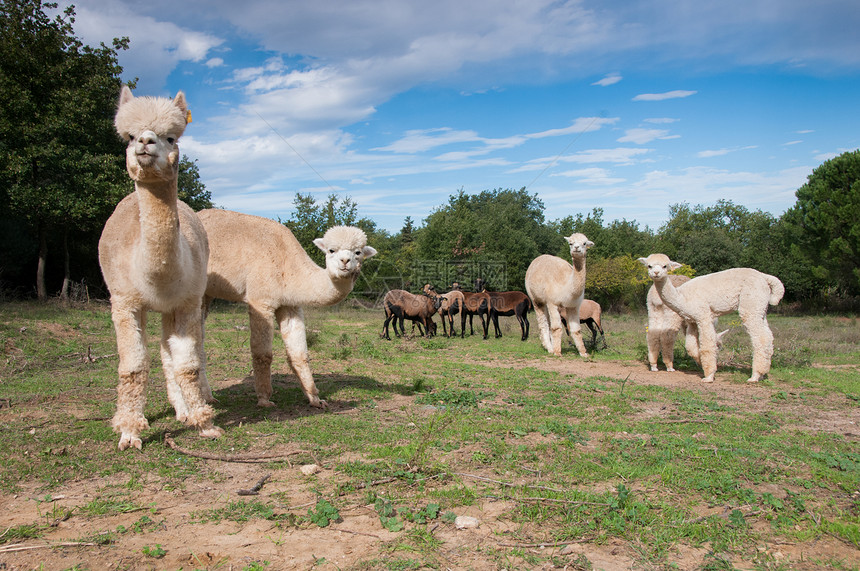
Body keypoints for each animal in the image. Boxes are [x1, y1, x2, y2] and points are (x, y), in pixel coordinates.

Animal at [99, 86, 223, 452]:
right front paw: (129, 432)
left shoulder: (186, 301)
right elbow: (132, 367)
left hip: (176, 307)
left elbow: (187, 365)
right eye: (128, 136)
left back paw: (182, 410)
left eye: (171, 137)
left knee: (168, 353)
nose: (145, 141)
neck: (156, 279)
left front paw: (205, 423)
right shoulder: (125, 302)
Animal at [203, 211, 378, 412]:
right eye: (331, 250)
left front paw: (315, 399)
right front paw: (264, 399)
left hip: (206, 292)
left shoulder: (289, 305)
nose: (345, 261)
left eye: (358, 252)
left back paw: (208, 398)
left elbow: (299, 354)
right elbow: (263, 354)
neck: (288, 266)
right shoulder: (261, 301)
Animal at [640, 255, 788, 384]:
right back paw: (760, 374)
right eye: (649, 265)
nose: (656, 273)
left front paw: (708, 374)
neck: (682, 297)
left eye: (665, 266)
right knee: (767, 336)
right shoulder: (694, 320)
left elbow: (704, 345)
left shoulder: (703, 316)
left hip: (753, 303)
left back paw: (755, 375)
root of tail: (764, 277)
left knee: (761, 337)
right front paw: (707, 370)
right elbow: (694, 346)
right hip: (760, 309)